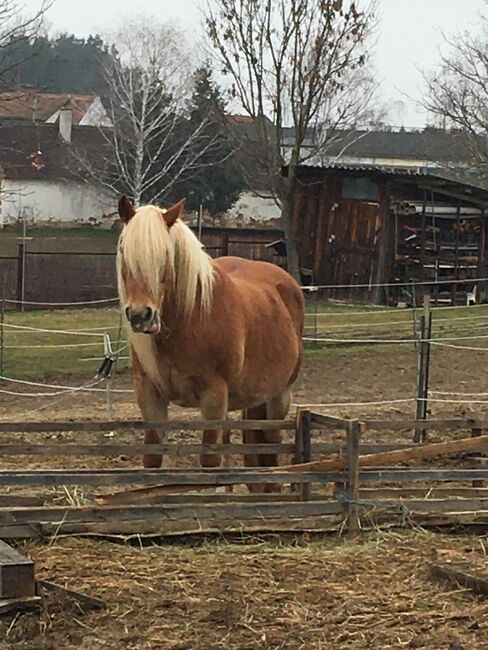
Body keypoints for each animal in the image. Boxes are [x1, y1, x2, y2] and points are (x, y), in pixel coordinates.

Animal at [116, 194, 304, 486]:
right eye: (124, 250)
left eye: (165, 255)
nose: (139, 315)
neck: (188, 320)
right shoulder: (149, 394)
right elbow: (154, 461)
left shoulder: (214, 397)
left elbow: (209, 463)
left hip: (279, 396)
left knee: (270, 448)